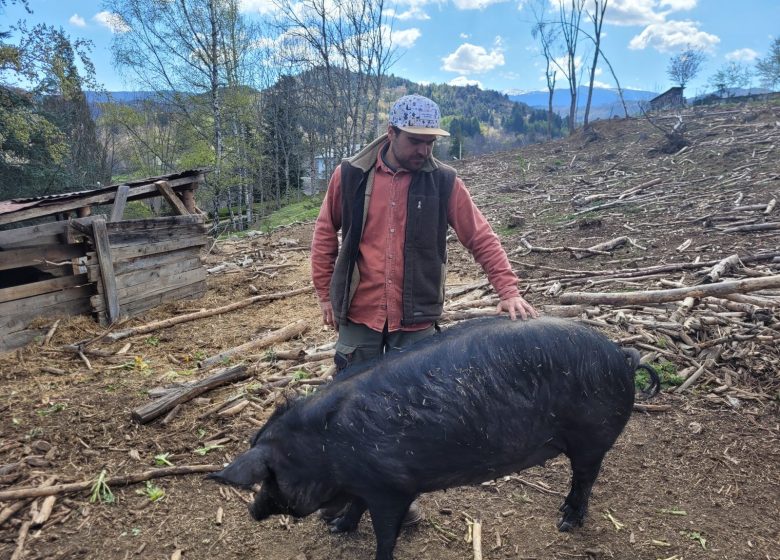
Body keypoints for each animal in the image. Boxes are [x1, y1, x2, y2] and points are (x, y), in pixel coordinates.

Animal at [207, 318, 660, 556]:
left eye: (269, 478)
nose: (253, 512)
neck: (322, 449)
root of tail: (622, 354)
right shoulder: (365, 482)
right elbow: (355, 506)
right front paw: (337, 527)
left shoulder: (391, 486)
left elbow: (385, 531)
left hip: (591, 437)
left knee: (585, 478)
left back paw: (565, 523)